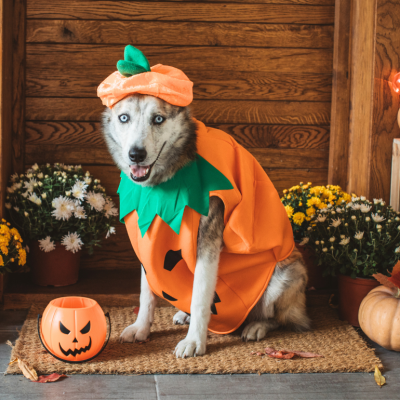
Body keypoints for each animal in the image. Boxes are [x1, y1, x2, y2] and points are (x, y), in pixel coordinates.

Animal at [101, 94, 310, 360]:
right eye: (123, 117)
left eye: (158, 119)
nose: (136, 154)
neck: (170, 177)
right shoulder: (146, 238)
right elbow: (146, 292)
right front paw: (141, 328)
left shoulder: (207, 241)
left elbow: (200, 297)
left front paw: (194, 341)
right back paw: (185, 315)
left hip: (288, 273)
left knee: (279, 319)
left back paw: (256, 326)